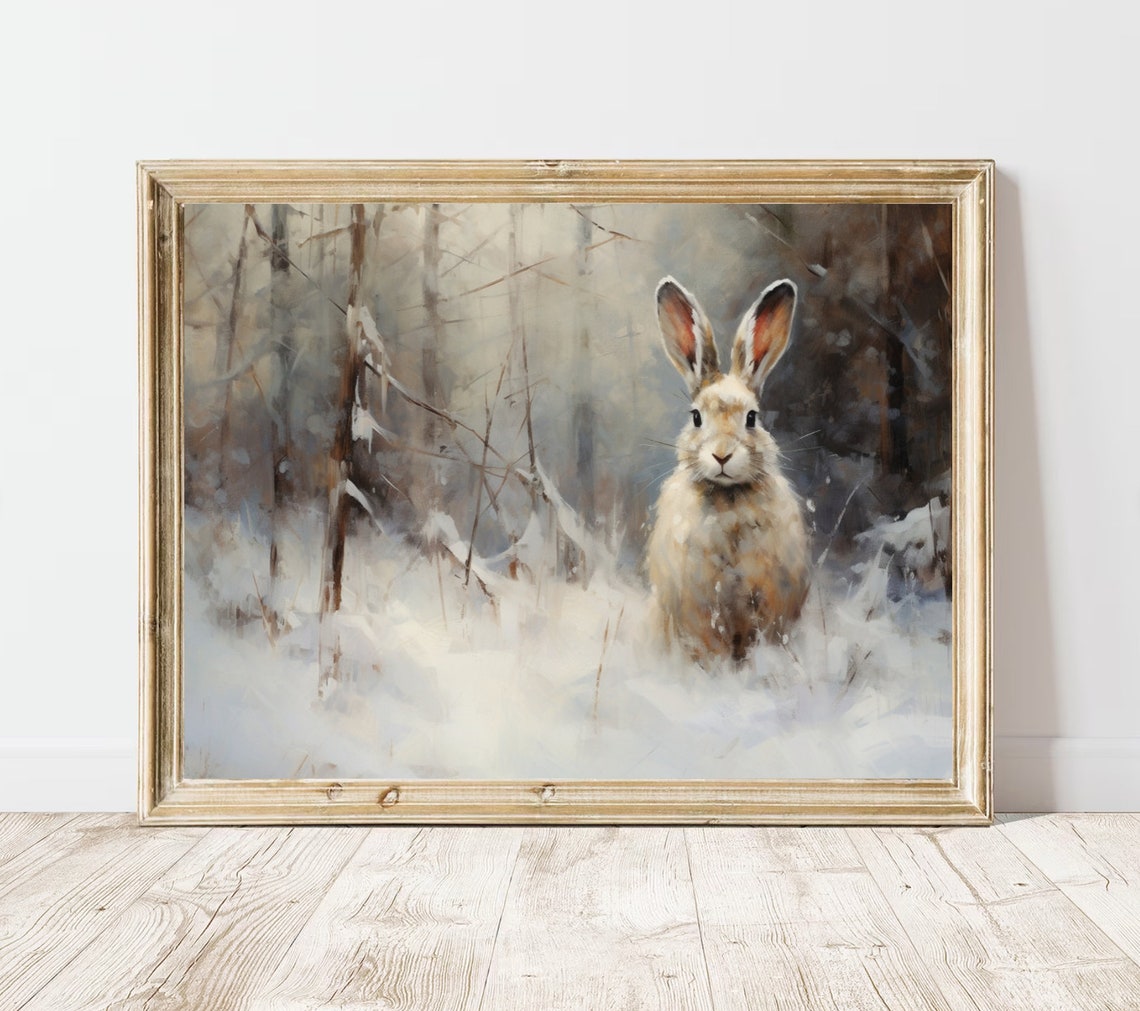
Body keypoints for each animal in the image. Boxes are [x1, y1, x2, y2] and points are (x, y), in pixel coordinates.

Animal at [646, 276, 810, 663]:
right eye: (696, 417)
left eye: (752, 417)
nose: (722, 455)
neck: (727, 498)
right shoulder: (700, 609)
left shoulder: (768, 604)